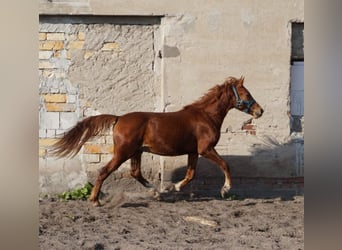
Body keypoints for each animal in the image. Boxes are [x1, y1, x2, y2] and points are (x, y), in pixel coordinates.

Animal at [50, 76, 264, 207]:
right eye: (246, 94)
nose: (260, 111)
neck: (206, 116)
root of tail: (118, 118)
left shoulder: (193, 152)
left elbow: (191, 174)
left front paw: (174, 187)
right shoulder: (206, 149)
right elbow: (225, 164)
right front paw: (225, 189)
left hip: (136, 152)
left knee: (135, 172)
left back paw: (156, 192)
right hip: (124, 152)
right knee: (105, 171)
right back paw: (95, 200)